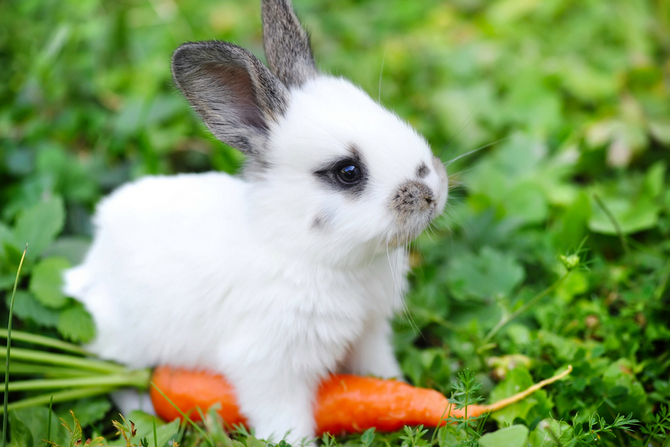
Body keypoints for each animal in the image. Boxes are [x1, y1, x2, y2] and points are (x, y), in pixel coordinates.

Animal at [64, 0, 452, 442]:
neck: (310, 253)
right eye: (348, 171)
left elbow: (378, 375)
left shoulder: (369, 334)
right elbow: (284, 418)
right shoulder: (270, 366)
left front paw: (398, 390)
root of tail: (91, 265)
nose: (432, 192)